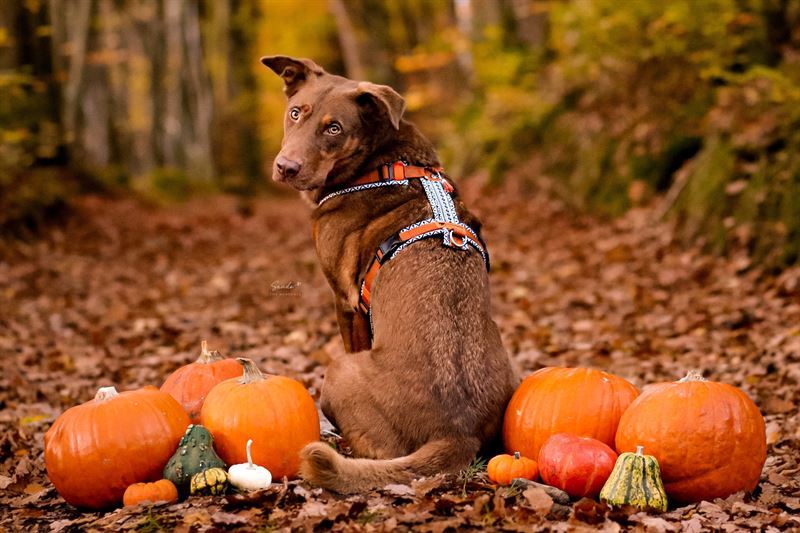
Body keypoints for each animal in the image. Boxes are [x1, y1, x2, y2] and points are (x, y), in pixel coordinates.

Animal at [264, 56, 520, 492]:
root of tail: (457, 432)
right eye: (295, 113)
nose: (286, 167)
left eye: (334, 128)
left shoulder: (346, 301)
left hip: (339, 372)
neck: (378, 160)